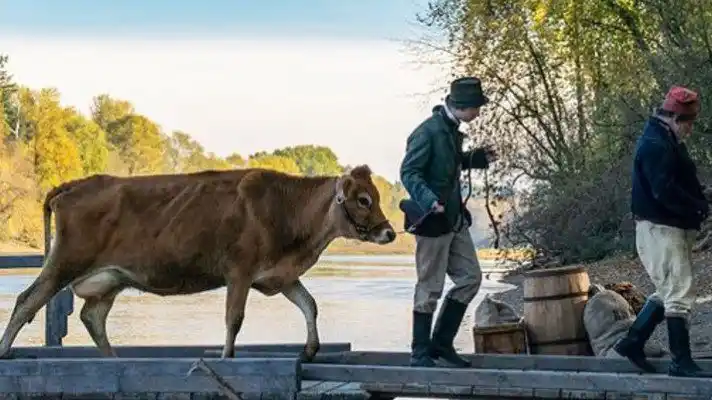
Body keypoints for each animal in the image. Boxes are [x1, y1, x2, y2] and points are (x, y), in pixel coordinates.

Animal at [0, 164, 396, 361]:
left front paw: (311, 349)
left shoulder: (279, 275)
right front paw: (225, 356)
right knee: (27, 301)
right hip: (65, 262)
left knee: (92, 317)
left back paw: (114, 360)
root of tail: (73, 185)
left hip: (109, 279)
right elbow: (234, 318)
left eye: (374, 196)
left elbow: (309, 305)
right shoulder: (239, 271)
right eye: (363, 199)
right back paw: (5, 351)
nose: (390, 232)